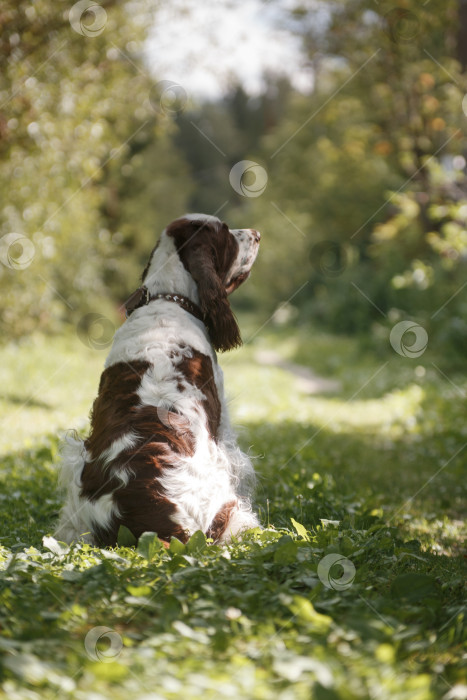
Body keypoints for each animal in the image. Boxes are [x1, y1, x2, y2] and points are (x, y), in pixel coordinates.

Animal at [55, 213, 264, 548]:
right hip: (225, 503)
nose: (257, 234)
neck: (168, 299)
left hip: (76, 463)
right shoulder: (223, 430)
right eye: (225, 232)